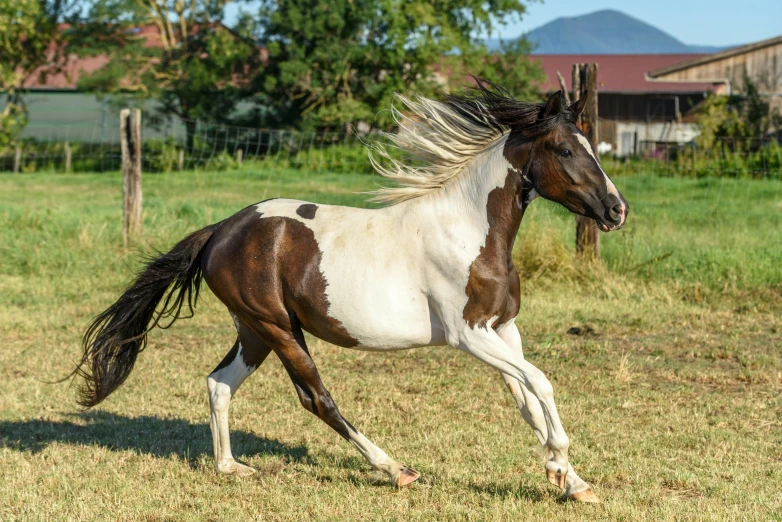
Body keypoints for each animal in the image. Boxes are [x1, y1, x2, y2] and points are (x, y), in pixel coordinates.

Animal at [75, 83, 632, 502]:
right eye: (565, 149)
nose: (616, 210)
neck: (469, 229)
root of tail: (220, 232)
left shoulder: (503, 330)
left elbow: (527, 401)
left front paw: (571, 482)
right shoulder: (469, 336)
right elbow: (542, 383)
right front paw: (561, 465)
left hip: (254, 330)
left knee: (219, 384)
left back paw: (230, 468)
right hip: (279, 328)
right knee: (315, 397)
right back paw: (396, 469)